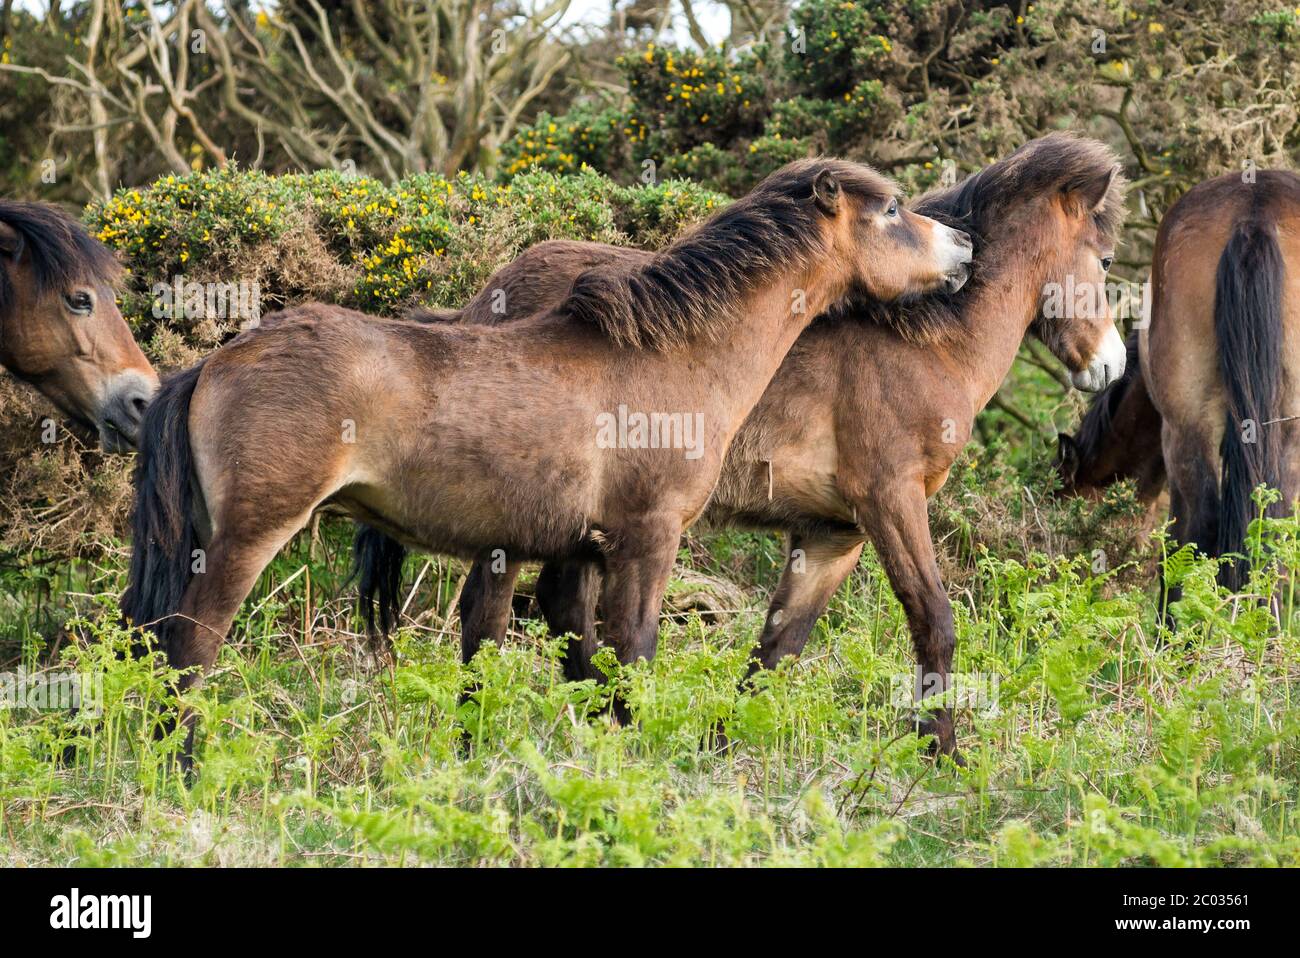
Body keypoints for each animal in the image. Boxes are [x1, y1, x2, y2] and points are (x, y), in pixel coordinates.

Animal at [123, 157, 974, 766]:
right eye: (891, 209)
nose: (963, 247)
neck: (674, 353)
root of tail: (212, 363)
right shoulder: (646, 539)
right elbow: (630, 655)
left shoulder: (577, 551)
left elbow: (585, 662)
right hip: (248, 537)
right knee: (190, 646)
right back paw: (183, 768)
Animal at [361, 133, 1129, 760]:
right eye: (1105, 257)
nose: (1112, 365)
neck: (923, 342)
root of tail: (489, 295)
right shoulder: (890, 500)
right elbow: (932, 619)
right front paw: (944, 755)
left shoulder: (832, 533)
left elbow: (778, 643)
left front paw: (719, 744)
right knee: (487, 616)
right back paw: (480, 740)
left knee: (557, 609)